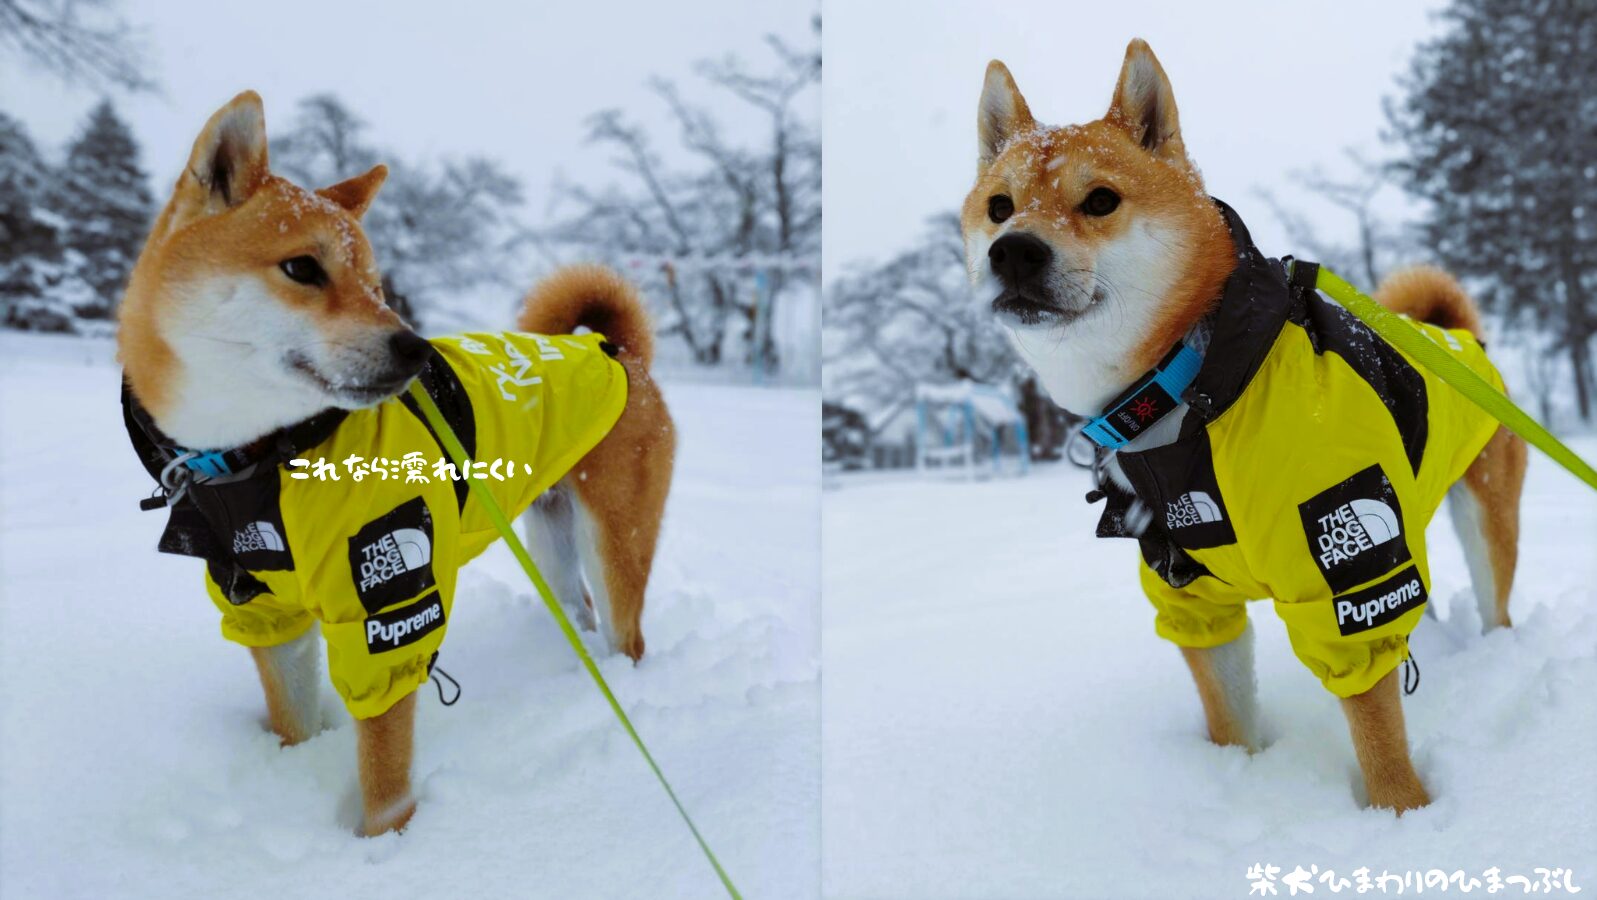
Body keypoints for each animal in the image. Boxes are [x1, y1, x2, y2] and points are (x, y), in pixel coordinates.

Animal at [118, 93, 673, 836]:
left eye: (374, 283)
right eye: (303, 268)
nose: (415, 349)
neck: (262, 458)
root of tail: (617, 352)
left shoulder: (386, 609)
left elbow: (383, 773)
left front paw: (382, 849)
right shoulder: (266, 615)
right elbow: (292, 721)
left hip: (613, 538)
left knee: (625, 634)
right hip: (551, 543)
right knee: (578, 611)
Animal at [964, 40, 1526, 817]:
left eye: (1100, 199)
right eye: (999, 207)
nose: (1013, 250)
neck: (1183, 393)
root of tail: (1455, 334)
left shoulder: (1338, 572)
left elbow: (1375, 724)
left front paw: (1401, 813)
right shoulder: (1191, 596)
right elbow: (1226, 713)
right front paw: (1241, 780)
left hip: (1478, 513)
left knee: (1494, 597)